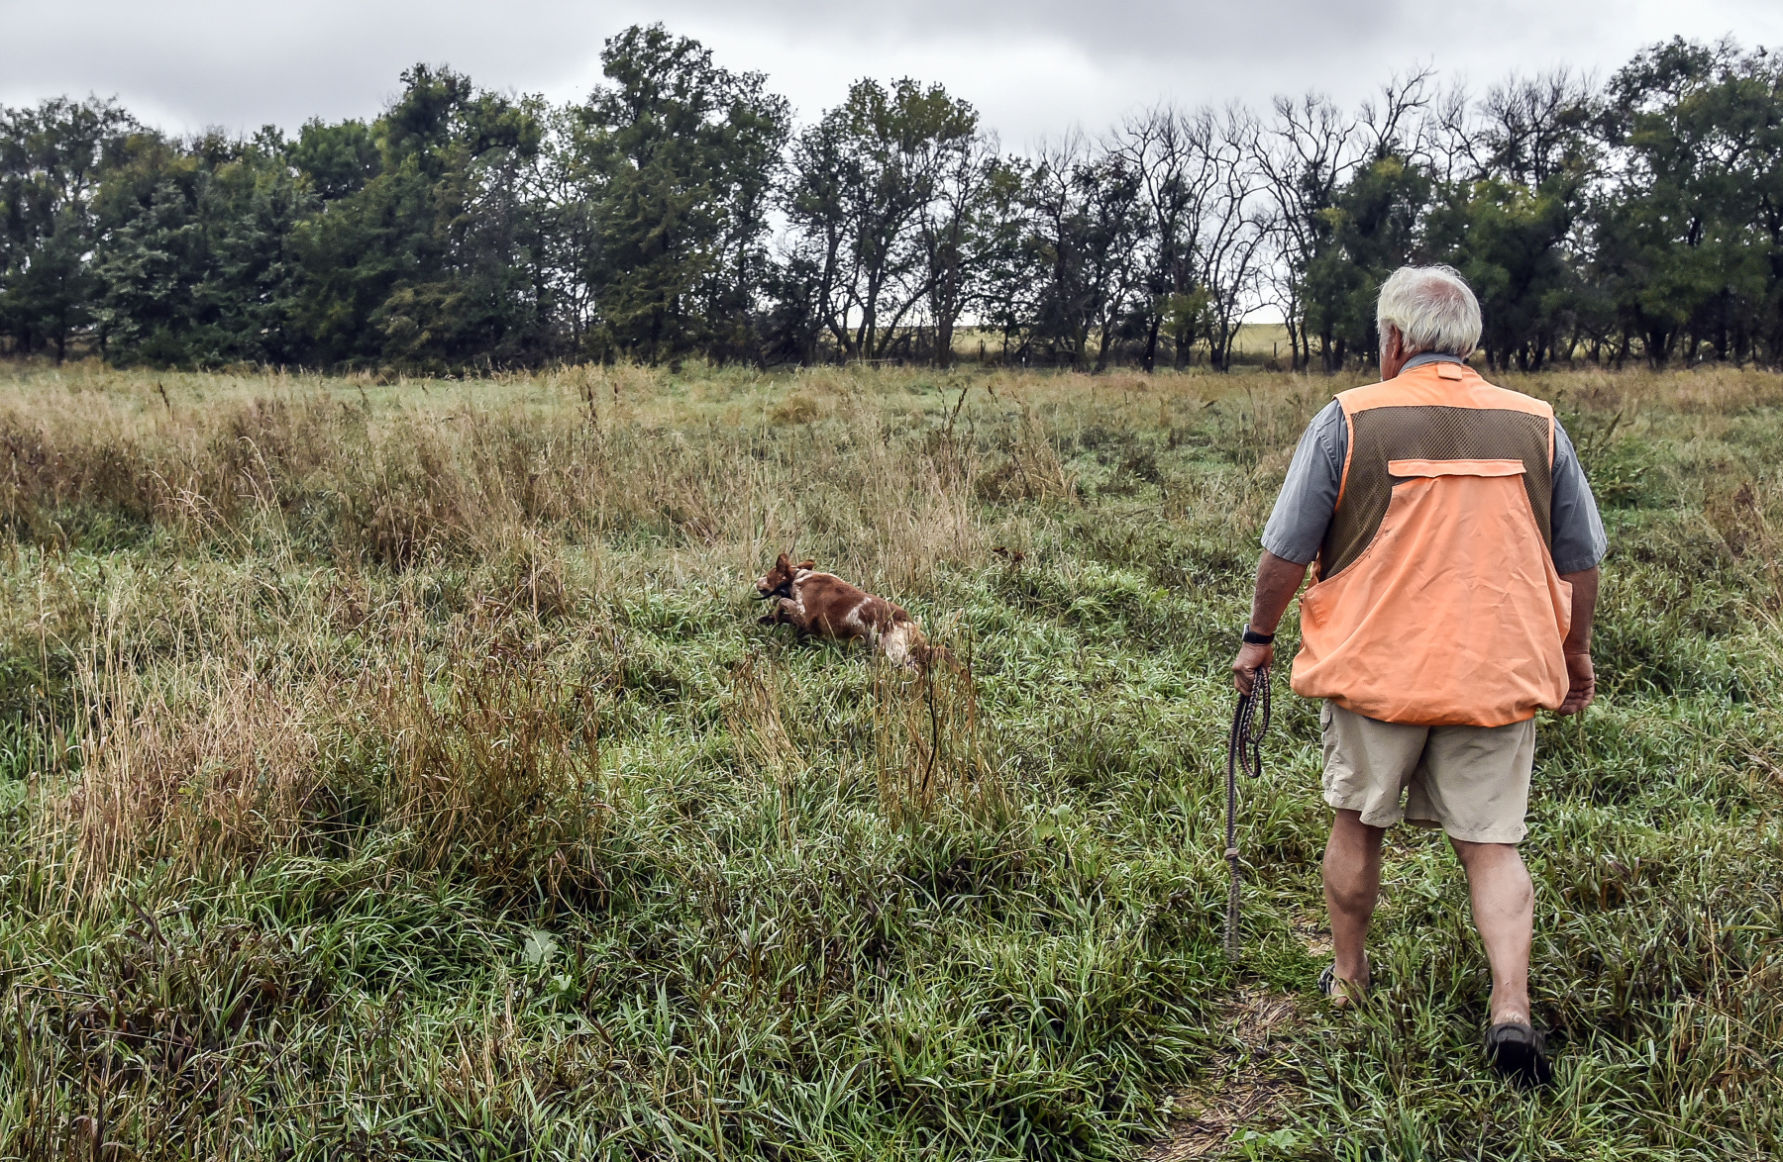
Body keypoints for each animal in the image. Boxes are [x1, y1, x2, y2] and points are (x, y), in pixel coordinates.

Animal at [755, 556, 934, 670]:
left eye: (768, 575)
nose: (756, 581)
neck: (798, 578)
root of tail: (905, 618)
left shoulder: (805, 614)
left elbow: (782, 602)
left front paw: (773, 616)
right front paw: (768, 619)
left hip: (893, 651)